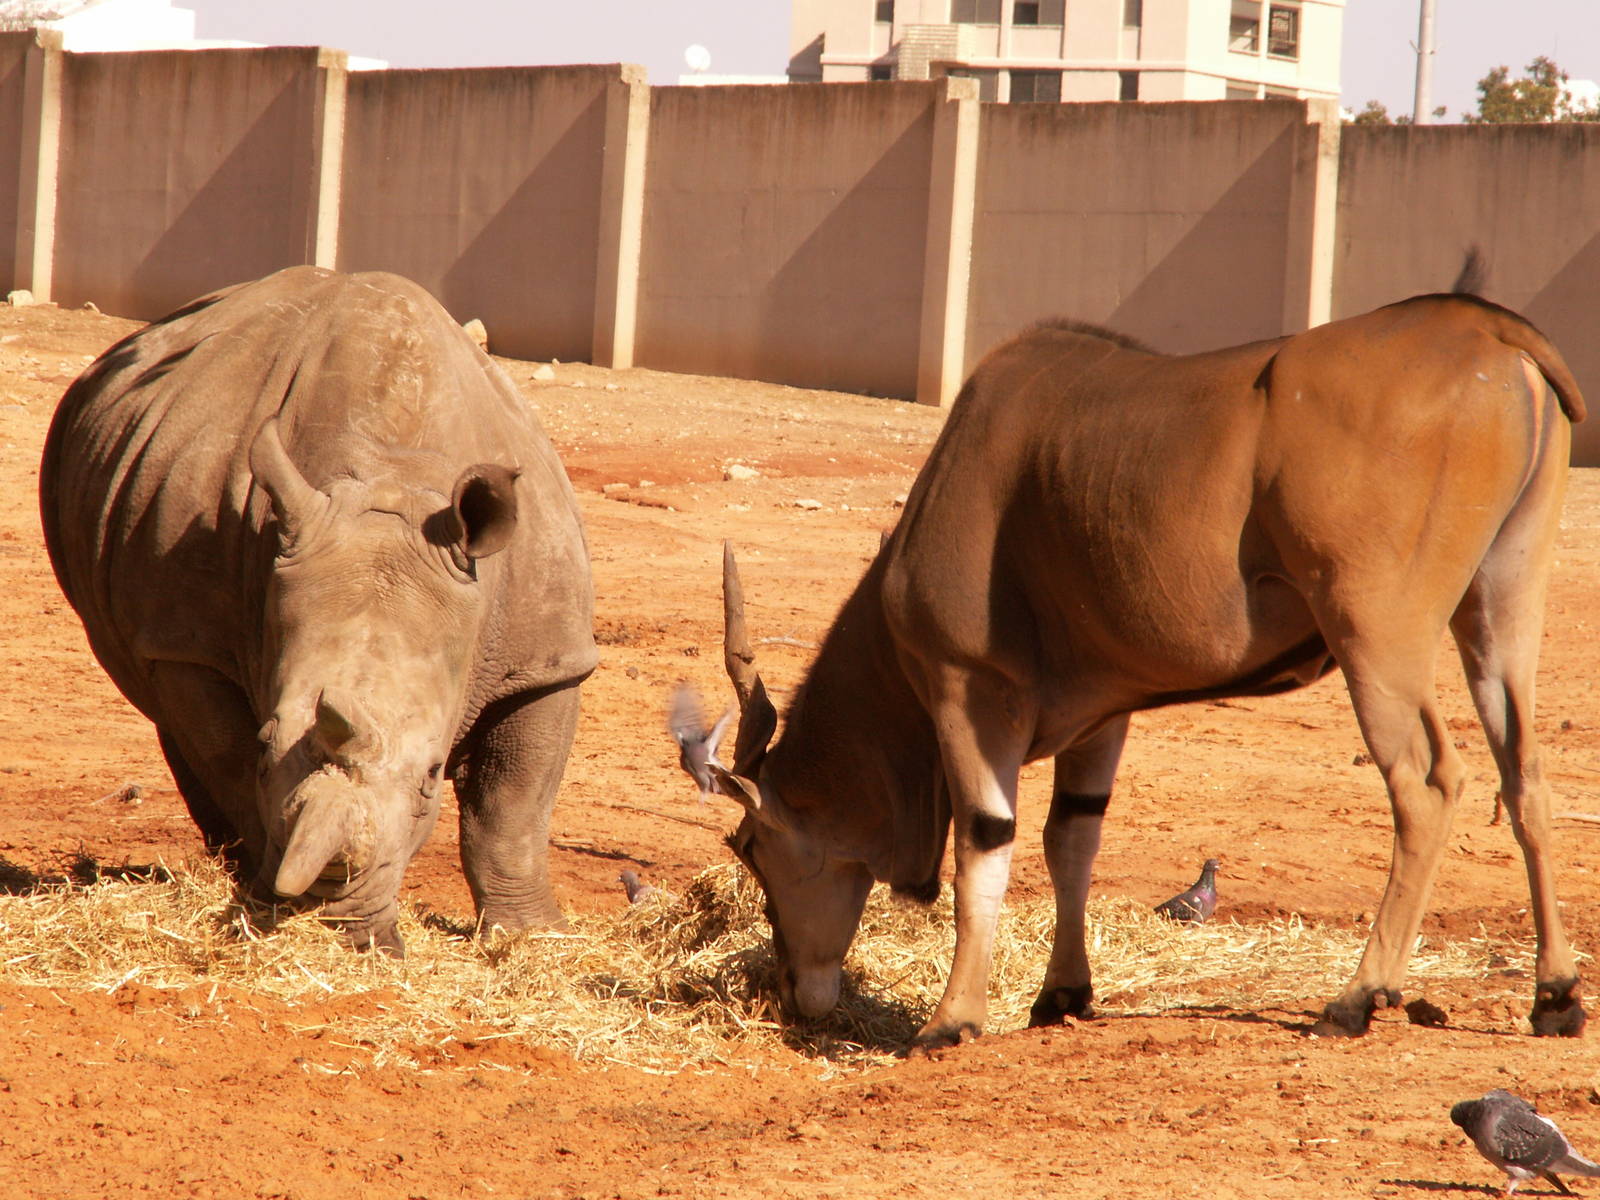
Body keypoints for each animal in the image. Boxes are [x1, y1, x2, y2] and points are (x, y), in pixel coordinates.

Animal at [40, 266, 596, 951]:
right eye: (267, 743)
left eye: (432, 774)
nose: (340, 923)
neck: (393, 476)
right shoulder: (190, 644)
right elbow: (230, 765)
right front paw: (263, 905)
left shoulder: (546, 656)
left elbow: (512, 805)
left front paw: (536, 939)